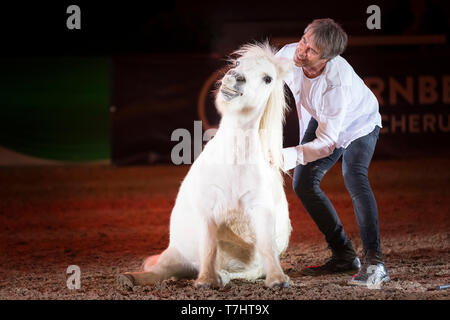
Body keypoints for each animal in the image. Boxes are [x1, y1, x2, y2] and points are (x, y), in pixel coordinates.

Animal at [117, 41, 292, 288]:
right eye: (237, 62)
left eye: (268, 78)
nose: (234, 77)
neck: (233, 162)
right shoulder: (208, 210)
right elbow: (209, 247)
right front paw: (206, 281)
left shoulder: (260, 209)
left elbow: (267, 245)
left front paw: (278, 279)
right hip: (175, 254)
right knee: (160, 271)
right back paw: (130, 278)